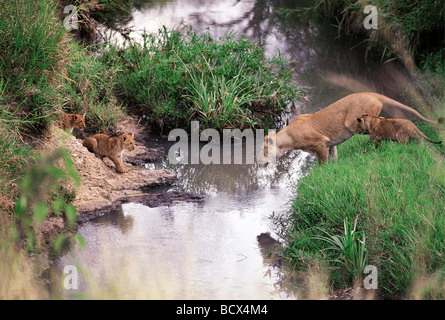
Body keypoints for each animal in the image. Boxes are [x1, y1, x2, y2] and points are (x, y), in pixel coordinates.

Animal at [258, 91, 442, 164]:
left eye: (263, 151)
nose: (258, 162)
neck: (288, 139)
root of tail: (370, 93)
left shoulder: (320, 143)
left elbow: (322, 163)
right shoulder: (329, 144)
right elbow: (334, 157)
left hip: (354, 122)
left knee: (376, 125)